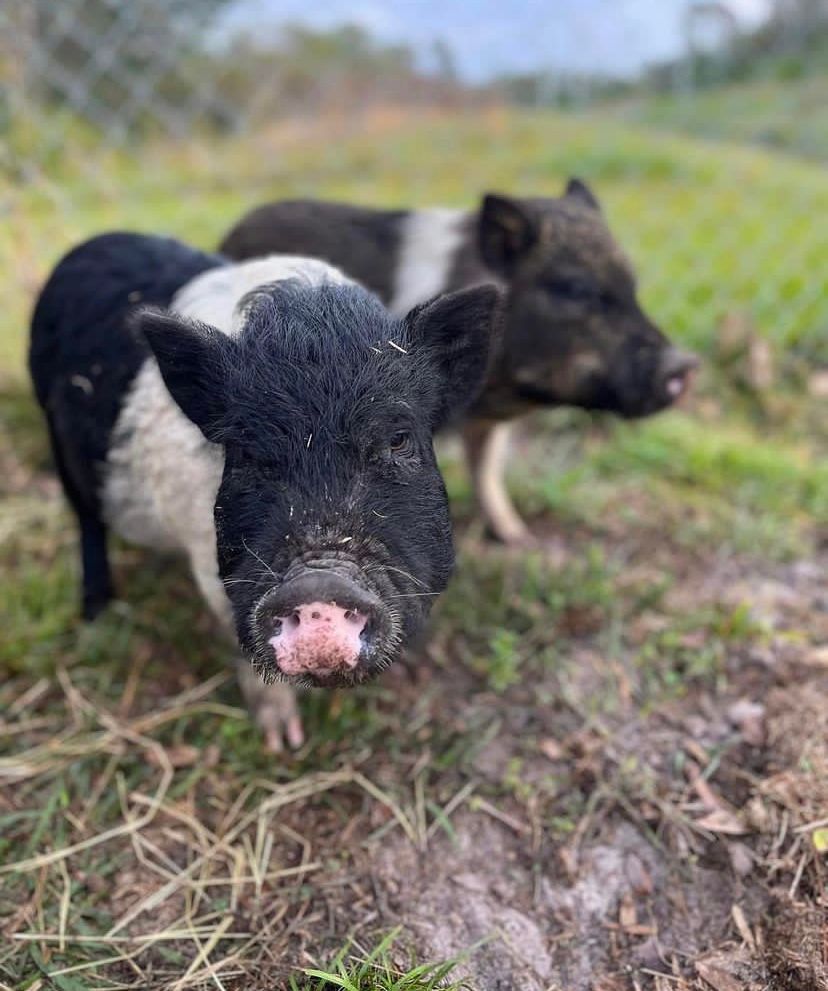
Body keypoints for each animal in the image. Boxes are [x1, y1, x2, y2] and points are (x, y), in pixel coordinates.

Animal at [30, 234, 498, 752]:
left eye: (398, 439)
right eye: (247, 451)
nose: (320, 584)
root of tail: (85, 247)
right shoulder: (210, 559)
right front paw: (284, 742)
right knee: (87, 524)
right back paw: (97, 616)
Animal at [220, 185, 700, 544]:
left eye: (633, 289)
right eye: (575, 289)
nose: (686, 364)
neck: (496, 394)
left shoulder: (485, 428)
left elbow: (486, 472)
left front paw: (518, 540)